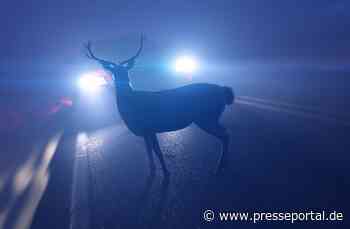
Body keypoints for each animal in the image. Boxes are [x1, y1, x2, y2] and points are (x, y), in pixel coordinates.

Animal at [84, 35, 235, 175]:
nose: (123, 81)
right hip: (209, 117)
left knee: (225, 134)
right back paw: (224, 164)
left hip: (207, 116)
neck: (131, 105)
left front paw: (166, 172)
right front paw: (153, 170)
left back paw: (219, 167)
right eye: (114, 72)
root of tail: (223, 90)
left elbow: (157, 151)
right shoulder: (146, 131)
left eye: (125, 71)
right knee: (226, 133)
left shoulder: (149, 127)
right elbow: (149, 152)